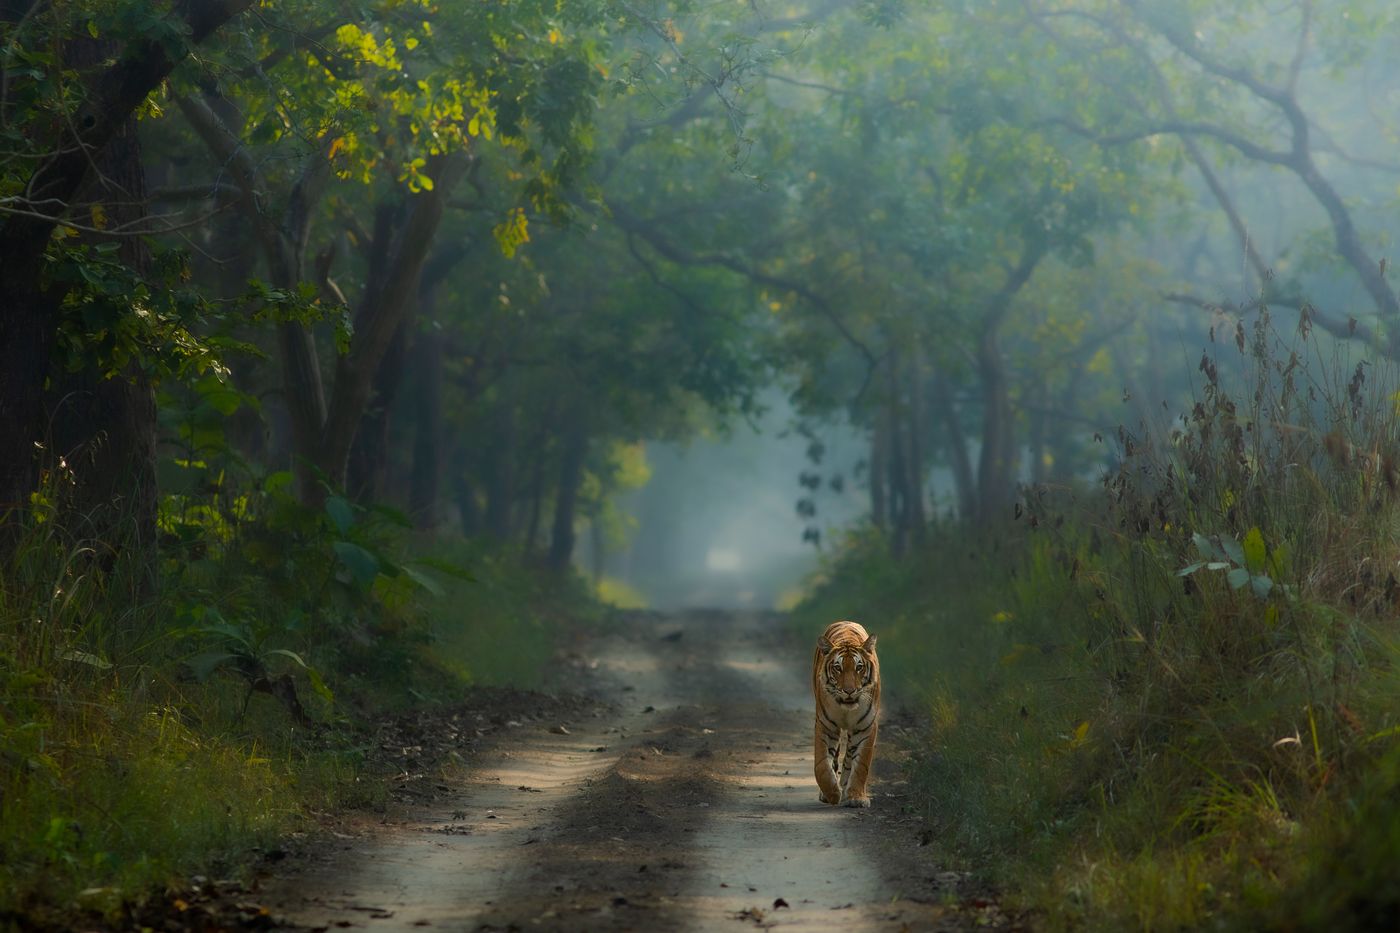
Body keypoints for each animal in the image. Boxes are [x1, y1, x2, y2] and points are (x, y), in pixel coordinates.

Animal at [812, 620, 880, 808]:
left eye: (859, 667)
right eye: (838, 668)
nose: (849, 691)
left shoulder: (866, 727)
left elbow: (861, 765)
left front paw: (856, 797)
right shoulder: (825, 726)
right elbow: (821, 764)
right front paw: (832, 793)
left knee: (849, 757)